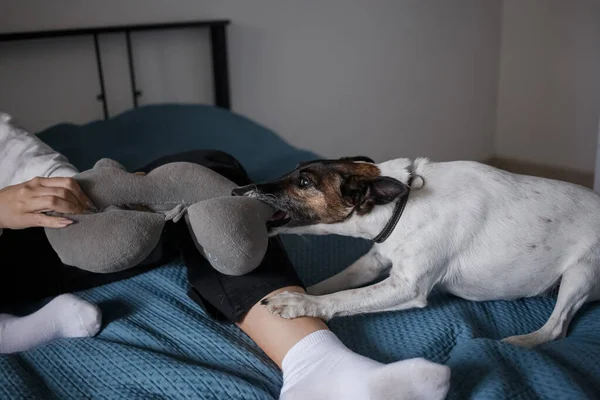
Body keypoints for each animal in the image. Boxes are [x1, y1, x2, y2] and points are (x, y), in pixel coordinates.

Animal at [233, 156, 600, 346]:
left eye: (305, 183)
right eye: (295, 170)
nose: (239, 190)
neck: (404, 202)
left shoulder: (408, 287)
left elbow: (343, 298)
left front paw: (300, 303)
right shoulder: (375, 260)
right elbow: (333, 284)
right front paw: (300, 291)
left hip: (581, 273)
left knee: (557, 327)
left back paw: (522, 342)